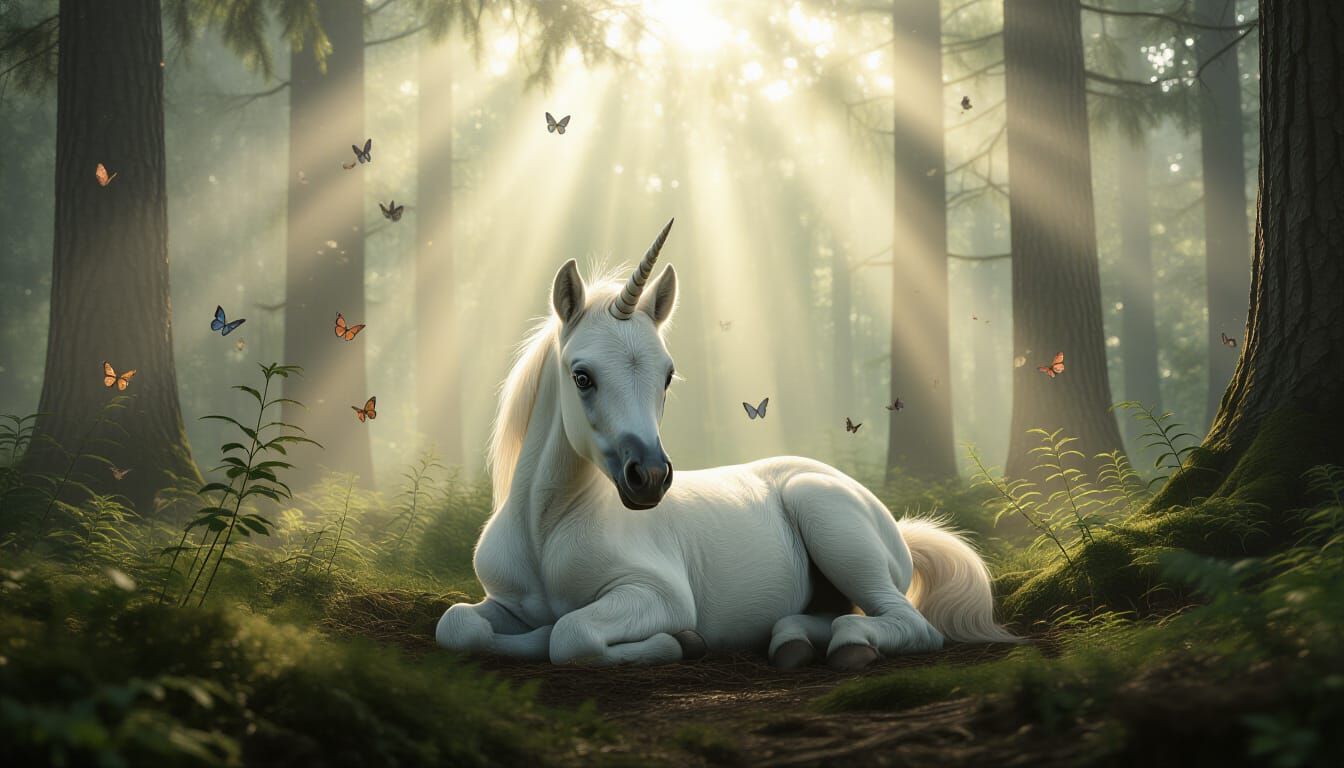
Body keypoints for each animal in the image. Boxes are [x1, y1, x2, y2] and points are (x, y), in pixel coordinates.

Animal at [435, 219, 1018, 669]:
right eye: (582, 376)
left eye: (668, 375)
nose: (650, 478)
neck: (544, 531)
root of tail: (891, 523)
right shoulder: (500, 600)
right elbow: (458, 625)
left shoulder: (659, 595)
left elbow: (568, 634)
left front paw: (680, 643)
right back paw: (791, 641)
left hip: (832, 524)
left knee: (909, 624)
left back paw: (848, 644)